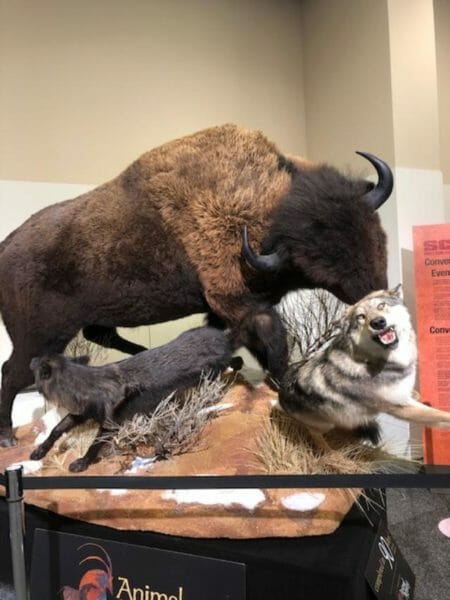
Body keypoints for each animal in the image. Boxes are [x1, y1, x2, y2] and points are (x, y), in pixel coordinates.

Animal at [0, 125, 392, 446]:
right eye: (319, 259)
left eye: (373, 232)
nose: (377, 296)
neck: (261, 210)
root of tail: (6, 247)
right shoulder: (236, 301)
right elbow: (274, 341)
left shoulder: (226, 312)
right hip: (42, 336)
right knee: (12, 372)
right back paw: (7, 437)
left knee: (100, 336)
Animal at [29, 326, 232, 472]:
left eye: (39, 361)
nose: (31, 359)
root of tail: (222, 337)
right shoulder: (80, 414)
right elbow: (56, 429)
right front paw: (39, 451)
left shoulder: (109, 424)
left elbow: (95, 445)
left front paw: (82, 463)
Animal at [280, 284, 450, 442]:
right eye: (361, 316)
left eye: (381, 305)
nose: (378, 322)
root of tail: (280, 394)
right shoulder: (400, 407)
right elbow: (441, 415)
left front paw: (416, 394)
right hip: (325, 425)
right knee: (314, 434)